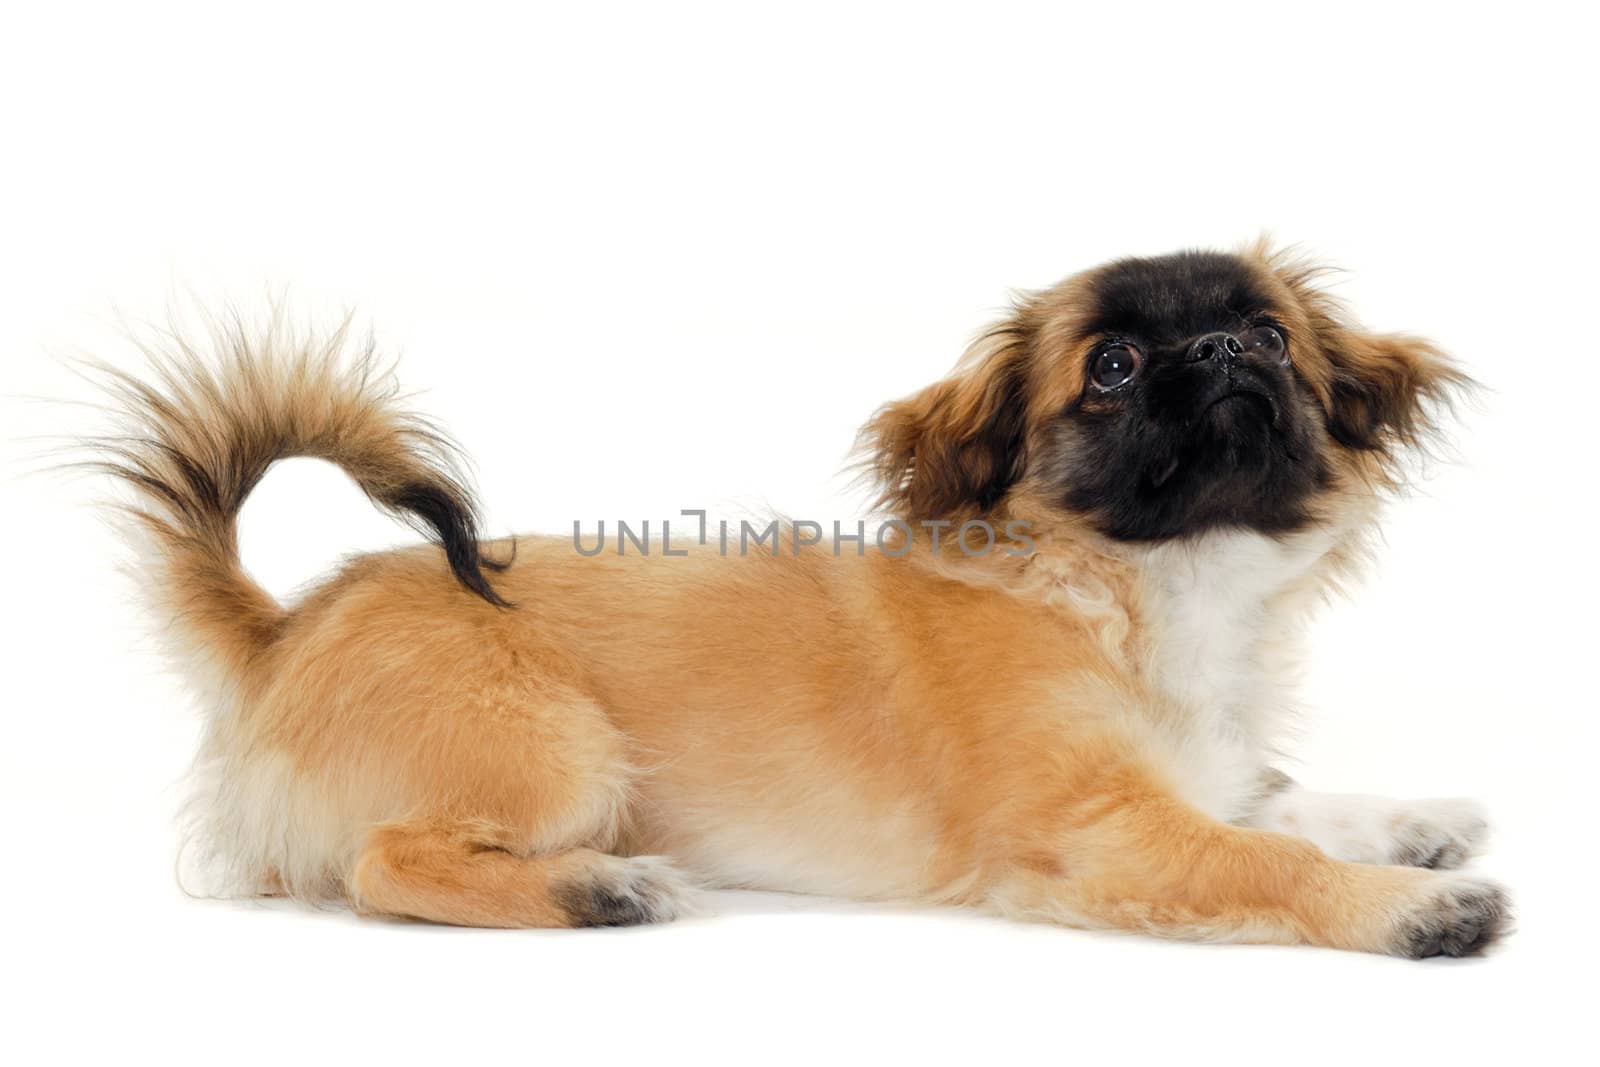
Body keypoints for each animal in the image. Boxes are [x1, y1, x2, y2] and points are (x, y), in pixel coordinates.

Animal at [90, 244, 1510, 959]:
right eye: (1109, 367)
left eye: (1269, 336)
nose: (1219, 352)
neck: (1129, 583)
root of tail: (285, 626)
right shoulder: (1101, 834)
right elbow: (1270, 856)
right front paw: (1411, 906)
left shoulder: (1193, 772)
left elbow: (1284, 798)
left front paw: (1416, 823)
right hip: (560, 747)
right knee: (384, 862)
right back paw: (594, 891)